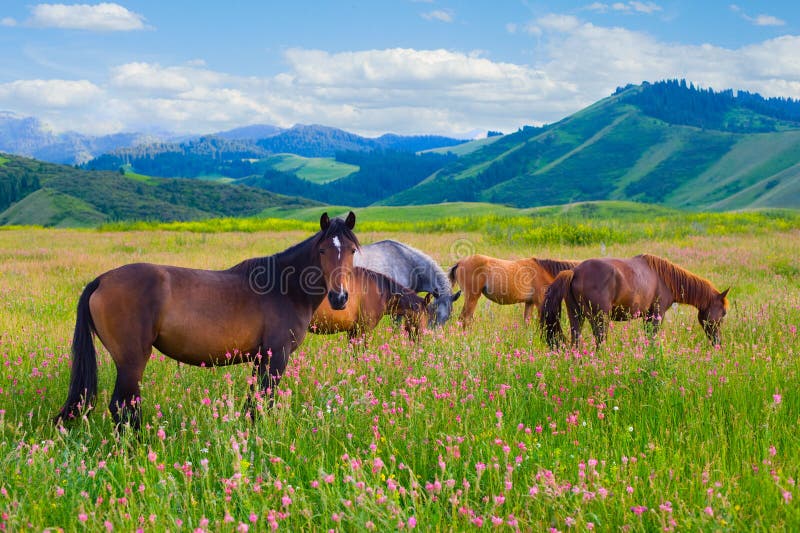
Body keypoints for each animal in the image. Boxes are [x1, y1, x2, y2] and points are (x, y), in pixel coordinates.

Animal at [54, 212, 360, 428]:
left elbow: (253, 403)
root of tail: (102, 280)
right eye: (322, 250)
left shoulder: (260, 357)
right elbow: (264, 401)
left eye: (352, 250)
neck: (284, 287)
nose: (339, 297)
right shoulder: (276, 355)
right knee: (123, 406)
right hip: (131, 361)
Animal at [446, 252, 580, 324]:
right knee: (465, 318)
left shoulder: (530, 303)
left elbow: (527, 322)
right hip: (472, 297)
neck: (545, 271)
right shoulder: (540, 303)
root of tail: (460, 262)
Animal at [540, 252, 728, 348]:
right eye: (724, 313)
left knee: (576, 341)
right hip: (599, 317)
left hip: (576, 316)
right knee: (600, 340)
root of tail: (575, 271)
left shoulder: (647, 316)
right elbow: (652, 337)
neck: (664, 278)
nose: (718, 343)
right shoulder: (657, 314)